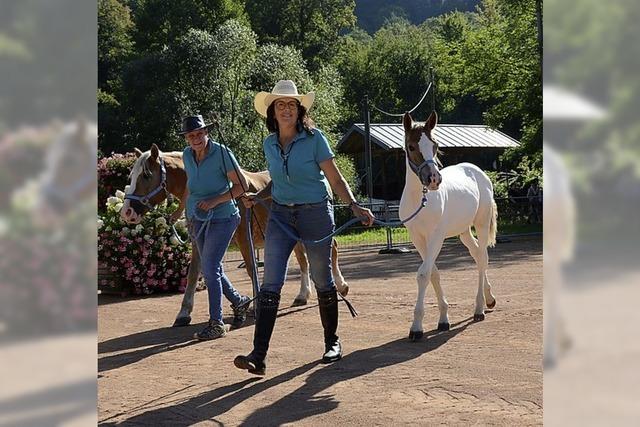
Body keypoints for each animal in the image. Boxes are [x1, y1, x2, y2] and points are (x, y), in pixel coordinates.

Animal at [120, 145, 350, 328]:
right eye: (130, 177)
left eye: (146, 175)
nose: (126, 212)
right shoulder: (200, 242)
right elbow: (196, 272)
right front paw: (184, 313)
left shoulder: (243, 239)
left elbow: (250, 269)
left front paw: (255, 306)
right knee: (303, 259)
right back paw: (302, 295)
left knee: (332, 248)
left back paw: (341, 286)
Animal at [400, 111, 500, 342]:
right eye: (411, 147)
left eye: (435, 145)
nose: (433, 179)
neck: (420, 200)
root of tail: (479, 172)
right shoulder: (418, 238)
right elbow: (433, 272)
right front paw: (443, 319)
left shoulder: (436, 236)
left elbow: (423, 274)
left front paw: (416, 327)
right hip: (464, 232)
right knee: (478, 256)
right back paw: (489, 298)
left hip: (481, 224)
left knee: (482, 259)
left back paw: (479, 308)